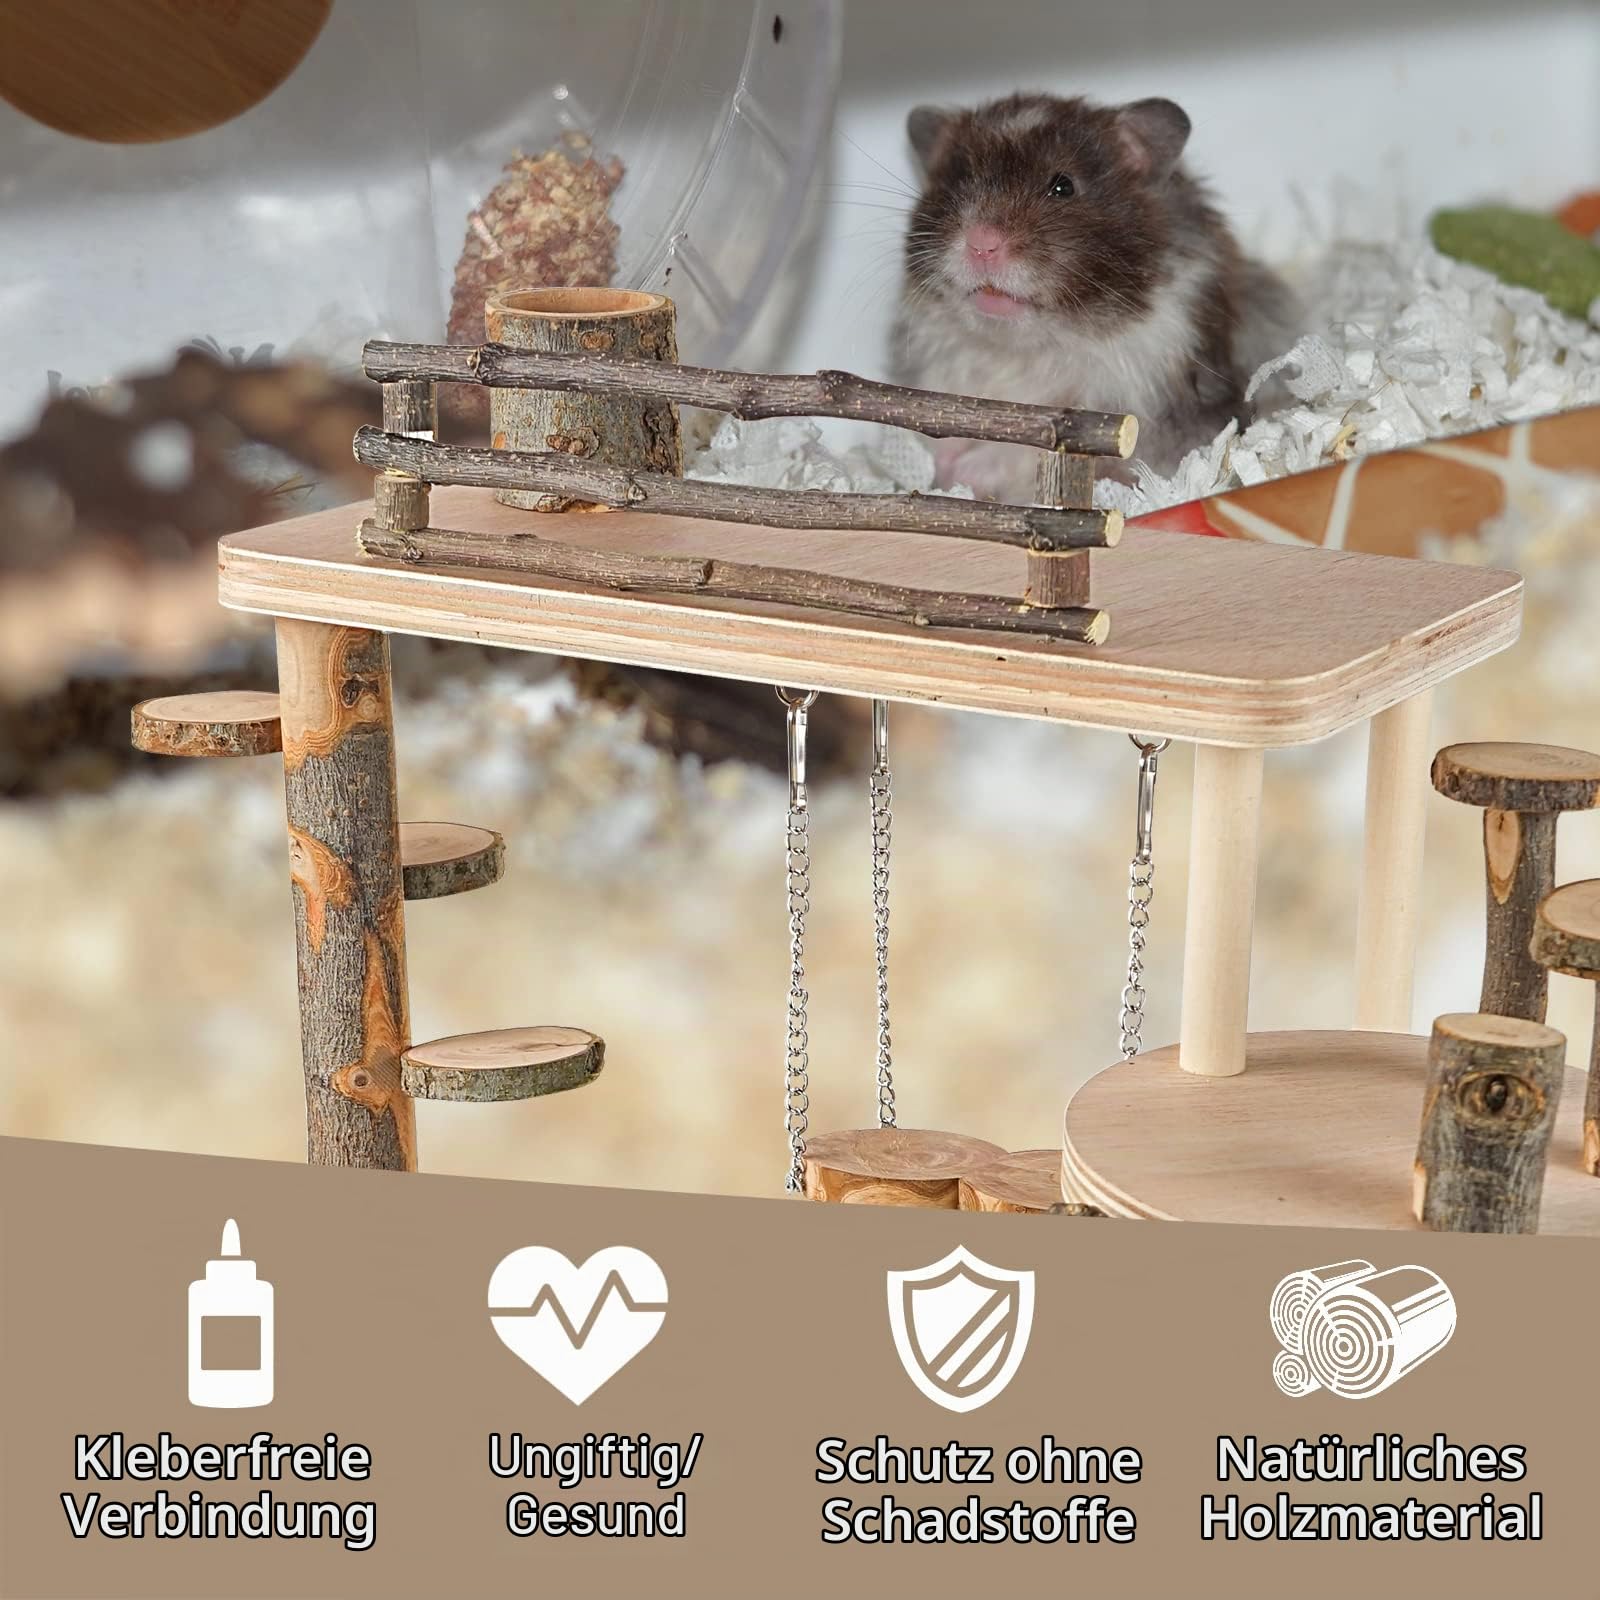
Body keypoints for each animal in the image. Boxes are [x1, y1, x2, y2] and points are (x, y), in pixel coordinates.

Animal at [890, 92, 1300, 498]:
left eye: (1063, 186)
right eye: (959, 179)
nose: (982, 243)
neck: (1026, 349)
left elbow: (1026, 454)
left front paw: (963, 468)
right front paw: (940, 462)